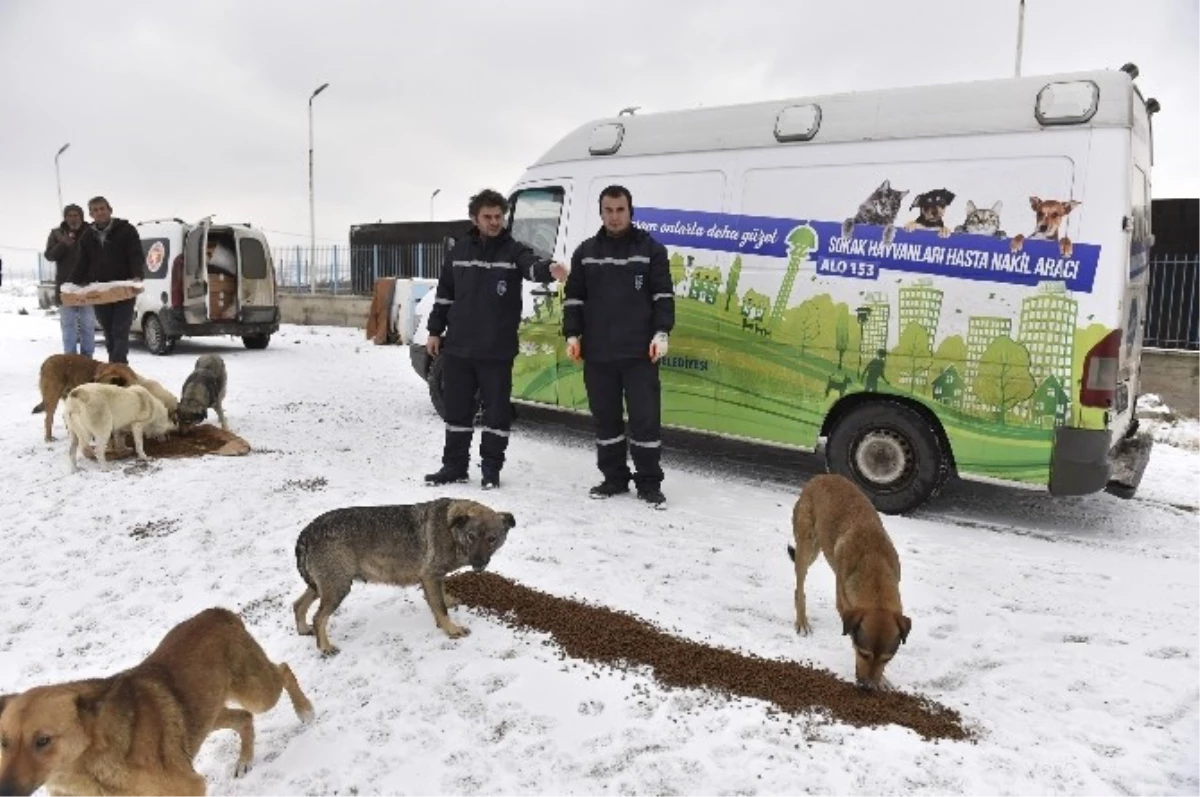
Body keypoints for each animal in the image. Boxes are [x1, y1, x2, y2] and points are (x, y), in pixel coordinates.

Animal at [0, 607, 314, 792]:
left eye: (43, 741)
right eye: (3, 742)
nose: (5, 791)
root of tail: (217, 612)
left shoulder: (189, 786)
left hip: (256, 692)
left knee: (283, 670)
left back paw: (305, 710)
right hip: (204, 716)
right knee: (243, 718)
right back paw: (244, 760)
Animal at [294, 499, 516, 652]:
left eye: (492, 539)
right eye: (471, 537)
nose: (479, 564)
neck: (452, 530)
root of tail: (307, 531)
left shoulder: (436, 577)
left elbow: (441, 597)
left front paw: (448, 603)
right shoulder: (430, 576)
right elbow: (441, 609)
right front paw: (451, 629)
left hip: (323, 586)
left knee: (298, 605)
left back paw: (303, 629)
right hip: (338, 587)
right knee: (318, 617)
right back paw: (324, 647)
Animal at [787, 472, 907, 691]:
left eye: (887, 659)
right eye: (863, 654)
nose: (868, 687)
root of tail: (820, 476)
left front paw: (883, 680)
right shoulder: (844, 603)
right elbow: (850, 632)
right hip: (807, 545)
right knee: (799, 586)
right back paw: (802, 621)